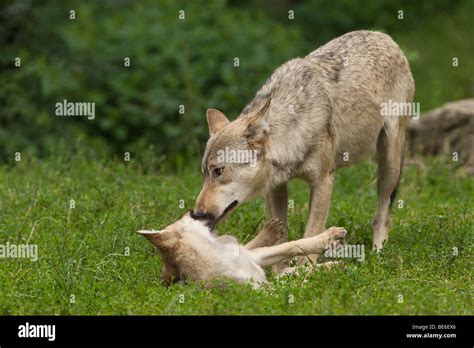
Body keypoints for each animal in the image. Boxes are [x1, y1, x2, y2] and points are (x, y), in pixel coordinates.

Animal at [137, 213, 344, 286]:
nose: (194, 209)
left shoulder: (255, 258)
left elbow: (293, 245)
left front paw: (330, 237)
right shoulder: (262, 288)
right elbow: (291, 279)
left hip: (247, 251)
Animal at [191, 29, 412, 258]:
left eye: (218, 171)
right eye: (204, 174)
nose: (197, 214)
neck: (292, 131)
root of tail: (383, 36)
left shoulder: (323, 182)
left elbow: (310, 234)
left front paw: (306, 266)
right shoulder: (275, 188)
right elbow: (280, 236)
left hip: (389, 165)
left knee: (383, 213)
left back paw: (378, 252)